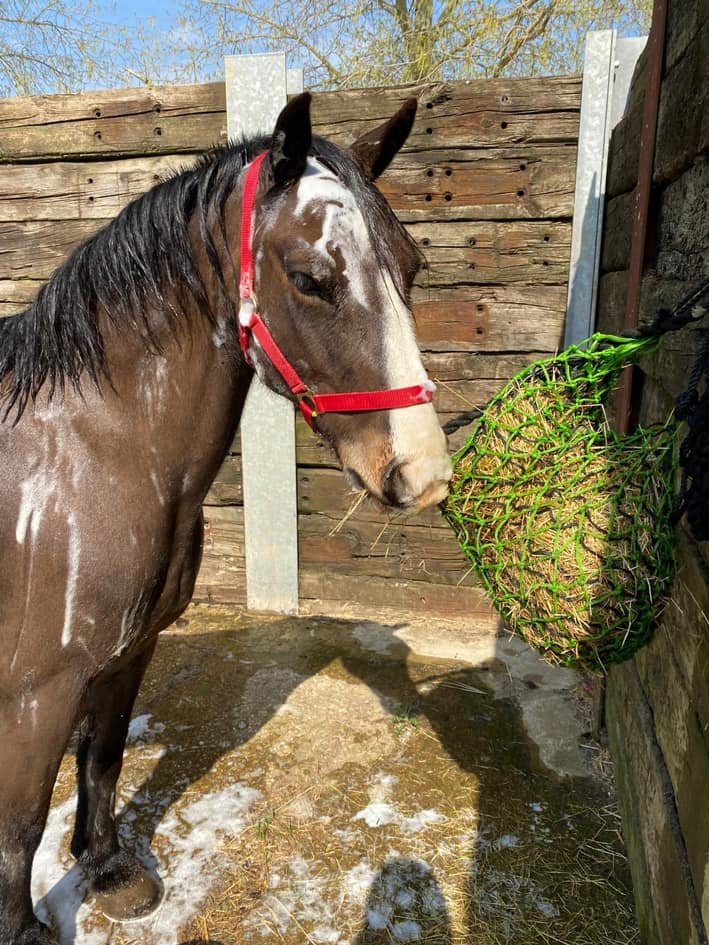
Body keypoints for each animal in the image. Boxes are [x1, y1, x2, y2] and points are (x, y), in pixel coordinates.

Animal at [0, 91, 452, 944]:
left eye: (411, 267)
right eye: (310, 279)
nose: (422, 473)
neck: (88, 452)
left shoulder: (127, 653)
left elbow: (104, 757)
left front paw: (107, 872)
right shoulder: (38, 692)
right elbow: (21, 824)